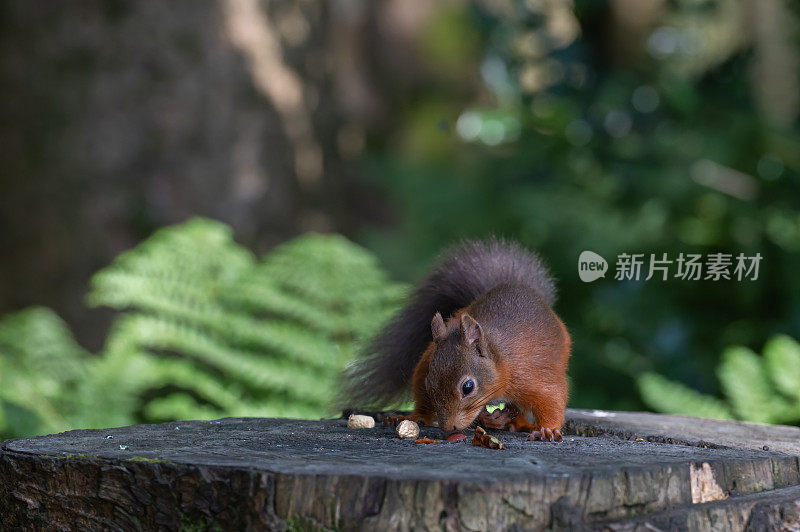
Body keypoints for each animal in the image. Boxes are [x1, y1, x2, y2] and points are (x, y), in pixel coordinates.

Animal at [340, 239, 572, 442]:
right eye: (430, 383)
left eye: (468, 387)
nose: (449, 427)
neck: (500, 359)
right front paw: (489, 418)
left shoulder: (531, 374)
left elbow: (552, 397)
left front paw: (547, 430)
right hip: (427, 358)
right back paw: (415, 417)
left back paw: (519, 423)